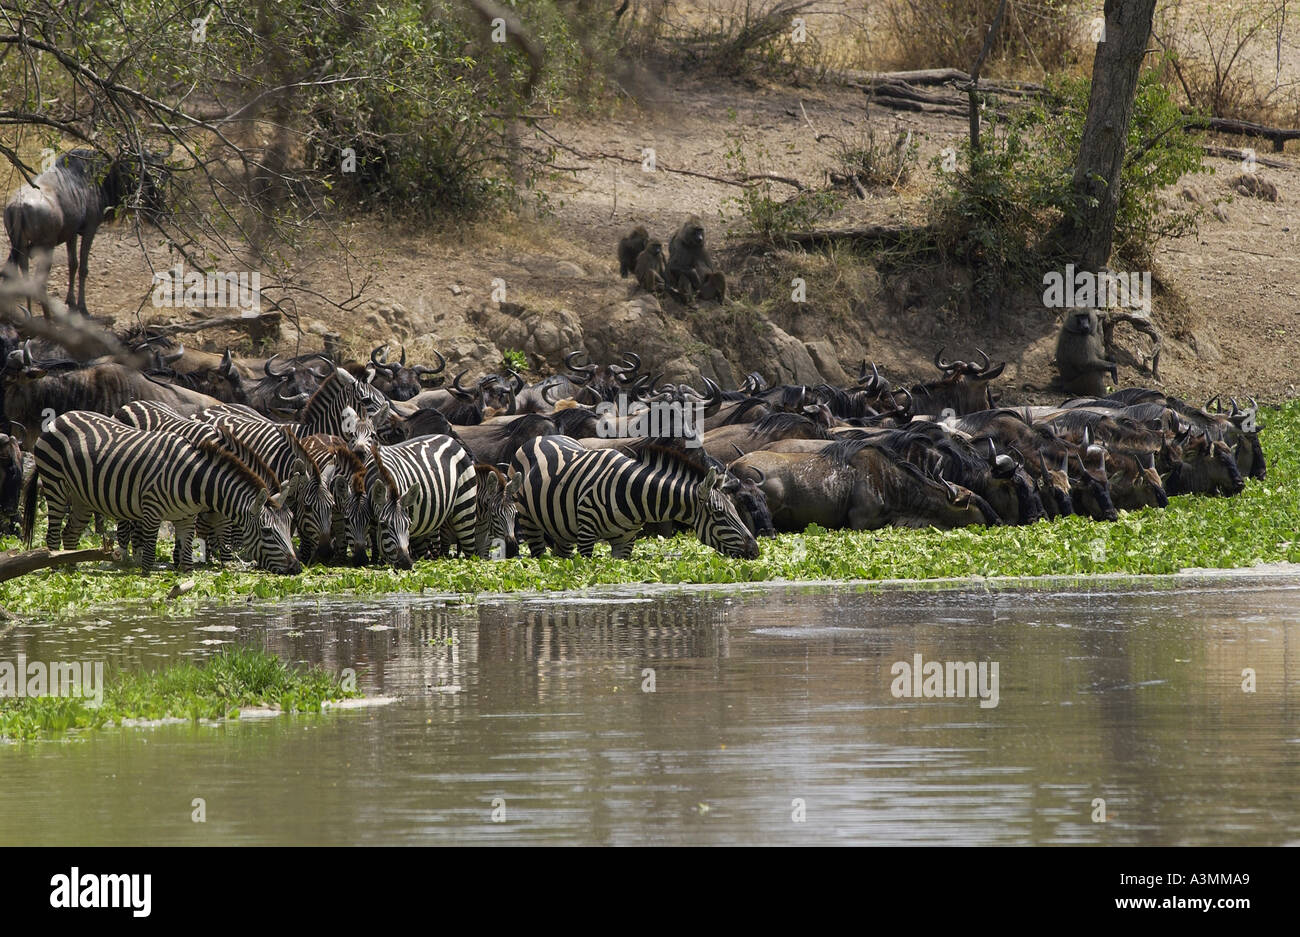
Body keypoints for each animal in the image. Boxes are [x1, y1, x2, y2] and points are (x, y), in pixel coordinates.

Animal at [23, 410, 301, 574]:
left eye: (290, 526)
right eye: (266, 531)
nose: (297, 568)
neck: (196, 480)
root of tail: (60, 417)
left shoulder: (187, 517)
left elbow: (188, 559)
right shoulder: (151, 512)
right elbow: (149, 556)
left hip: (82, 498)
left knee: (70, 535)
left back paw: (71, 571)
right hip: (56, 484)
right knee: (53, 535)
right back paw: (57, 572)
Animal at [363, 435, 477, 568]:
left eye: (408, 524)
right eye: (384, 524)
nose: (406, 563)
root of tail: (451, 439)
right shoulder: (372, 522)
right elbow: (376, 544)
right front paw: (376, 562)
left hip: (466, 507)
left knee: (469, 549)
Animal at [510, 435, 760, 559]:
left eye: (736, 510)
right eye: (719, 514)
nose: (755, 551)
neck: (632, 493)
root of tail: (540, 436)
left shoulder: (626, 540)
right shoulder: (586, 535)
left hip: (563, 529)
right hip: (529, 522)